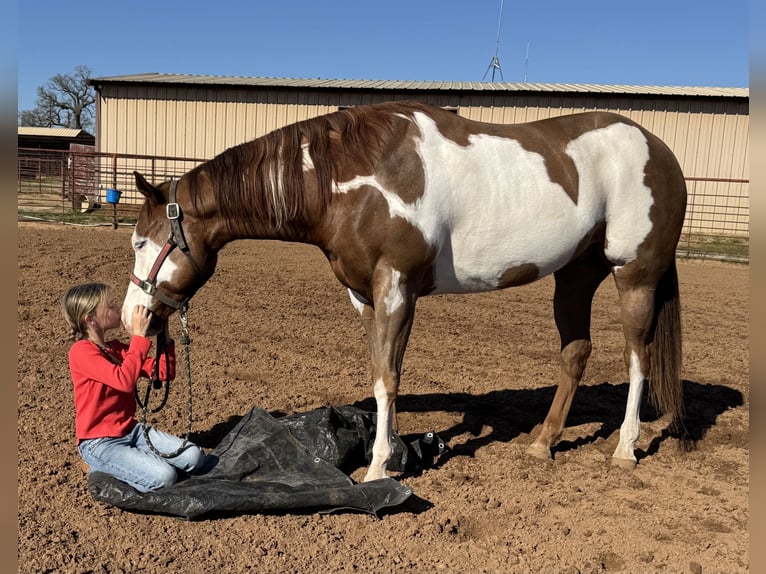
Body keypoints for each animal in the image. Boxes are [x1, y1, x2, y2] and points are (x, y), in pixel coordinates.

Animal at [123, 101, 688, 484]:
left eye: (140, 241)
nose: (133, 317)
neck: (352, 179)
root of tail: (659, 149)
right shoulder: (367, 297)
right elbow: (380, 372)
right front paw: (393, 452)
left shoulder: (397, 288)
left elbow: (387, 379)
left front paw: (377, 469)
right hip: (574, 276)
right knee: (576, 354)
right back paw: (543, 443)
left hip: (634, 277)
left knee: (638, 358)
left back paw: (625, 449)